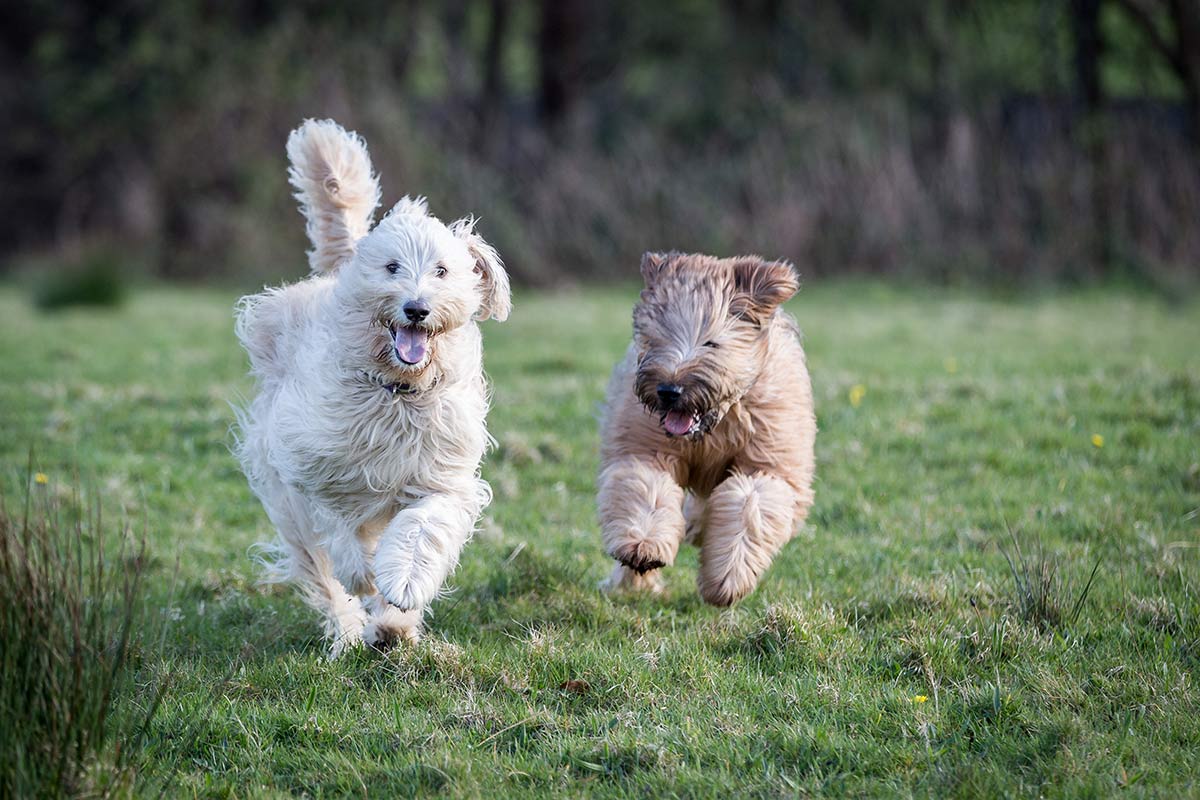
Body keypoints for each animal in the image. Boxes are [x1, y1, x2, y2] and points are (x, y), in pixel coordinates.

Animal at [235, 120, 511, 657]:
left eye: (442, 270)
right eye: (392, 268)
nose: (416, 309)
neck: (395, 393)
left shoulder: (440, 476)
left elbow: (422, 530)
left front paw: (401, 586)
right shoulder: (315, 471)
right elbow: (339, 532)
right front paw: (363, 574)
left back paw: (392, 627)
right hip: (289, 503)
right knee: (322, 575)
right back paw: (348, 632)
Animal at [597, 253, 816, 604]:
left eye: (711, 343)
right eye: (657, 338)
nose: (669, 390)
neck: (715, 424)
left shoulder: (765, 461)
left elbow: (747, 507)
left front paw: (728, 578)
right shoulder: (645, 449)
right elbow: (647, 490)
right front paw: (642, 547)